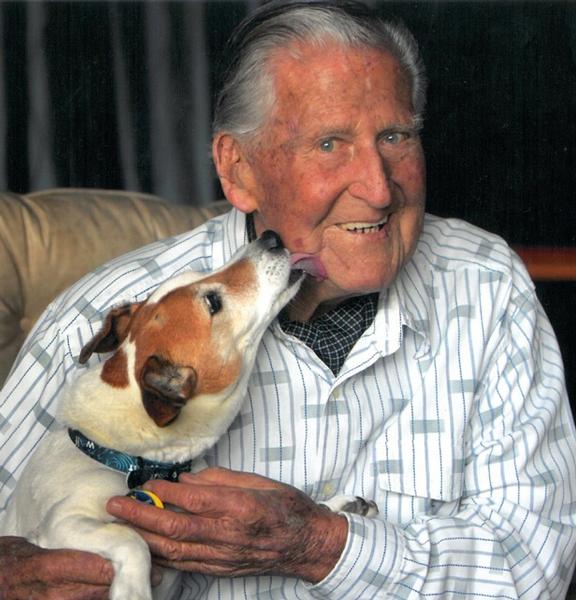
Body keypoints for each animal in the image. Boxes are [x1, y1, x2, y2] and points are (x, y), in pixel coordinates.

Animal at [0, 231, 376, 600]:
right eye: (213, 303)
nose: (271, 237)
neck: (133, 460)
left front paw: (336, 506)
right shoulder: (64, 522)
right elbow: (132, 541)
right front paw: (133, 590)